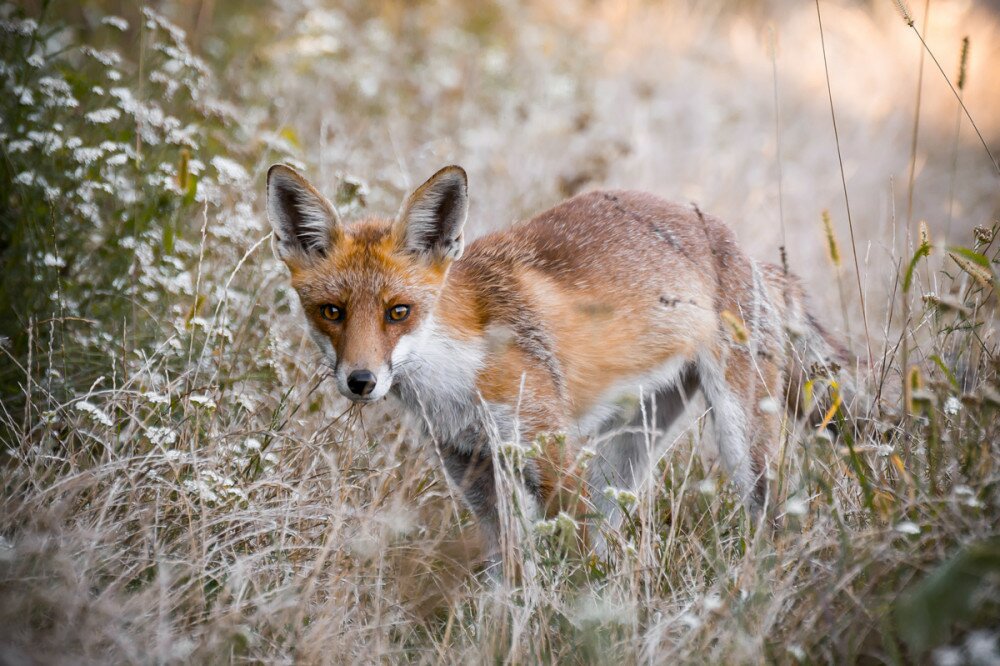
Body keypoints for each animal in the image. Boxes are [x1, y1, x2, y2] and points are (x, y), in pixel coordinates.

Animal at [266, 162, 852, 572]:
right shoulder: (471, 468)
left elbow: (569, 569)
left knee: (776, 527)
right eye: (332, 312)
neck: (458, 375)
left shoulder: (551, 457)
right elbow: (507, 573)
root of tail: (747, 252)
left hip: (741, 446)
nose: (360, 381)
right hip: (624, 453)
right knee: (610, 538)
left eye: (398, 312)